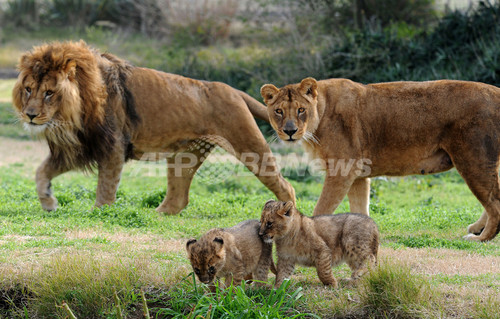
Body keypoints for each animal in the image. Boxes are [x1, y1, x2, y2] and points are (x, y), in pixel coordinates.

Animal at [12, 40, 292, 215]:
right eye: (28, 89)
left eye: (49, 93)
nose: (30, 115)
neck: (71, 115)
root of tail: (234, 90)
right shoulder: (79, 147)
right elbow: (40, 173)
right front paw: (49, 203)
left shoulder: (113, 146)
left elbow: (106, 186)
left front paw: (99, 213)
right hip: (184, 157)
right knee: (178, 199)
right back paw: (156, 214)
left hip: (248, 145)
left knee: (284, 185)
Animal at [260, 77, 500, 242]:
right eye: (279, 111)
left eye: (301, 109)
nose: (289, 131)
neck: (321, 113)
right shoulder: (357, 175)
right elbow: (359, 209)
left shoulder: (342, 170)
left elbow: (321, 209)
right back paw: (477, 228)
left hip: (473, 159)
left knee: (494, 203)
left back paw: (481, 238)